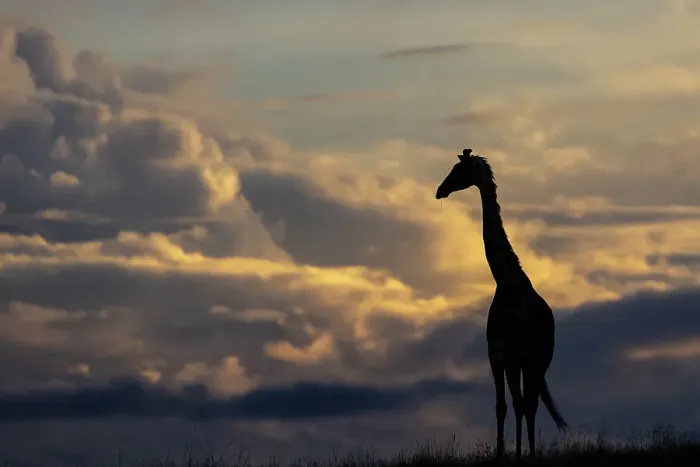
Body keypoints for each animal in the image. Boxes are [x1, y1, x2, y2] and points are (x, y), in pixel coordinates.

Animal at [436, 149, 567, 458]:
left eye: (459, 170)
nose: (439, 191)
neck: (507, 281)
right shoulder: (504, 356)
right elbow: (506, 406)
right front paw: (508, 453)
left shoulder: (507, 355)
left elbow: (512, 406)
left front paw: (510, 453)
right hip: (530, 363)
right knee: (526, 403)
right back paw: (526, 451)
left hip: (536, 361)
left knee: (528, 403)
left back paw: (527, 452)